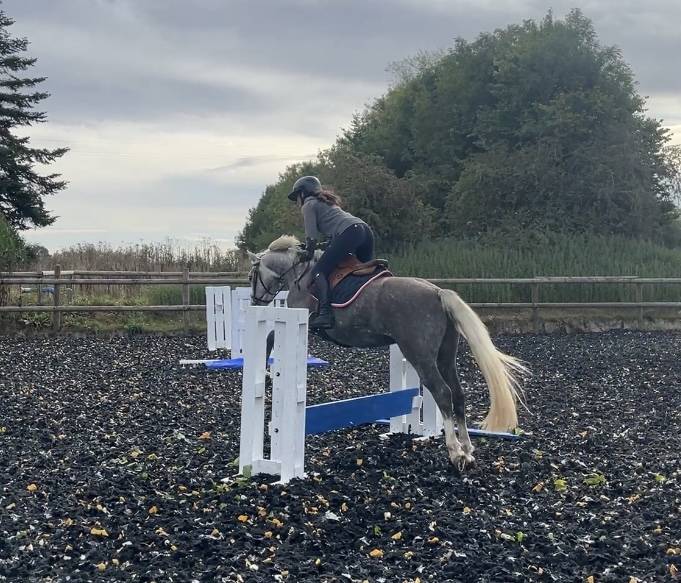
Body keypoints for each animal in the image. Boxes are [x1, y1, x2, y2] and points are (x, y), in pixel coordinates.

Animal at [246, 235, 528, 469]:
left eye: (251, 276)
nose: (255, 302)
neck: (300, 274)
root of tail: (438, 292)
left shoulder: (304, 321)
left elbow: (270, 336)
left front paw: (268, 369)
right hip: (445, 356)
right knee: (457, 394)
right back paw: (468, 451)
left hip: (419, 355)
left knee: (442, 392)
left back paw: (455, 452)